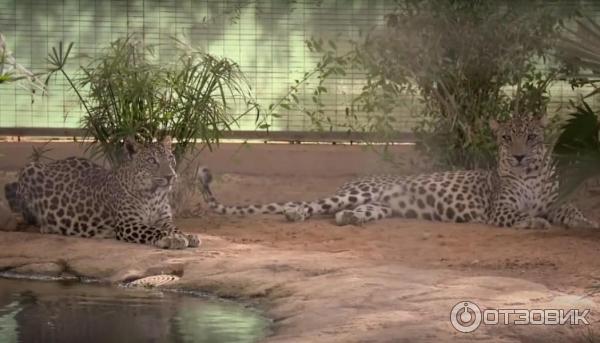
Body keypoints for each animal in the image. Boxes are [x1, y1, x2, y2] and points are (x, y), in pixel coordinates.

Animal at [2, 137, 200, 250]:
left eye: (170, 158)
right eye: (152, 161)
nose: (170, 176)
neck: (154, 195)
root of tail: (53, 162)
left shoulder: (164, 219)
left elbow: (174, 227)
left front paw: (187, 236)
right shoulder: (128, 224)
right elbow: (153, 230)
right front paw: (173, 239)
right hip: (29, 168)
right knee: (30, 219)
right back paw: (47, 226)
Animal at [196, 115, 596, 231]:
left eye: (531, 136)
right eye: (506, 137)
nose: (518, 156)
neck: (531, 175)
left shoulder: (553, 199)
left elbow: (566, 208)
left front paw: (586, 221)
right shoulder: (499, 210)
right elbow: (520, 214)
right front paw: (536, 222)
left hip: (380, 206)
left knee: (342, 213)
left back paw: (350, 219)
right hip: (354, 192)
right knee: (311, 204)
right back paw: (297, 213)